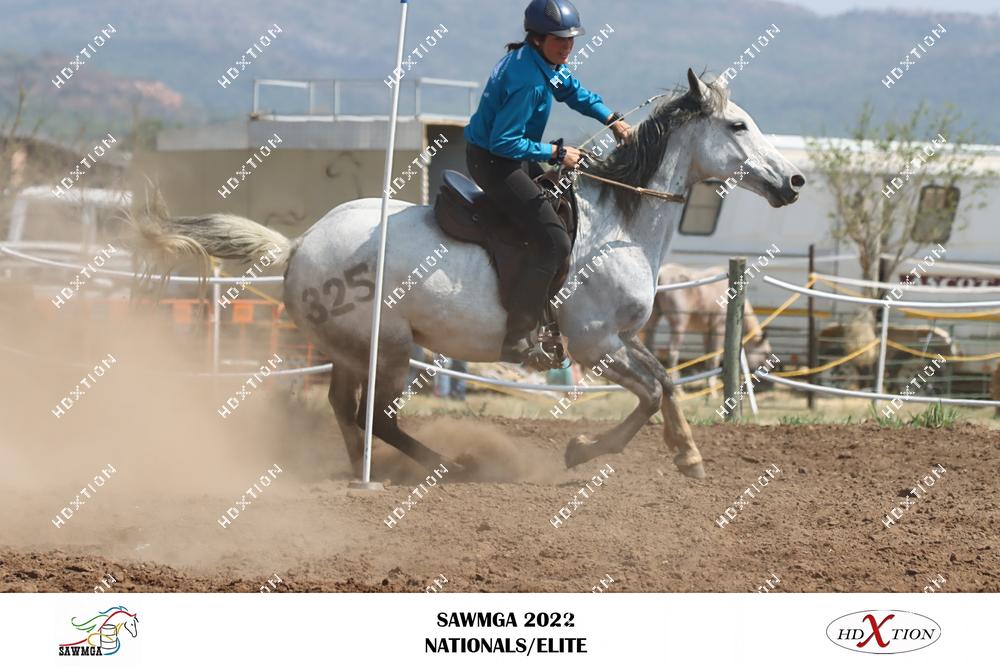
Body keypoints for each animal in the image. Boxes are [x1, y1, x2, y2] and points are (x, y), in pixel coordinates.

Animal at [642, 264, 774, 391]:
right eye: (766, 353)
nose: (768, 376)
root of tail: (661, 273)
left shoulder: (707, 331)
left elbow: (708, 354)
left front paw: (708, 385)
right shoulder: (719, 329)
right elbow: (714, 357)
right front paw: (712, 387)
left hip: (653, 319)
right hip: (679, 326)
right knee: (673, 353)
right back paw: (678, 389)